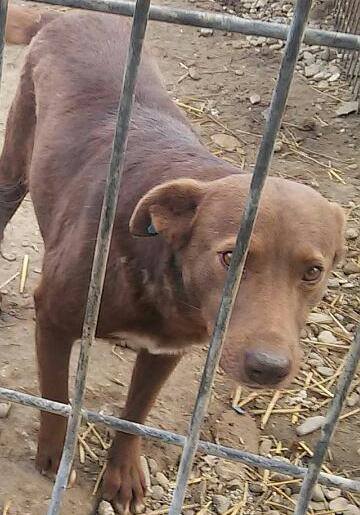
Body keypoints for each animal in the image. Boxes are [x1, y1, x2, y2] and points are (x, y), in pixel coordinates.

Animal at [1, 5, 344, 515]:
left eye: (313, 272)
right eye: (229, 256)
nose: (269, 368)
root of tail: (66, 15)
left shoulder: (169, 350)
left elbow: (136, 414)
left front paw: (121, 471)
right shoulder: (54, 319)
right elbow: (58, 397)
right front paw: (54, 452)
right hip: (14, 168)